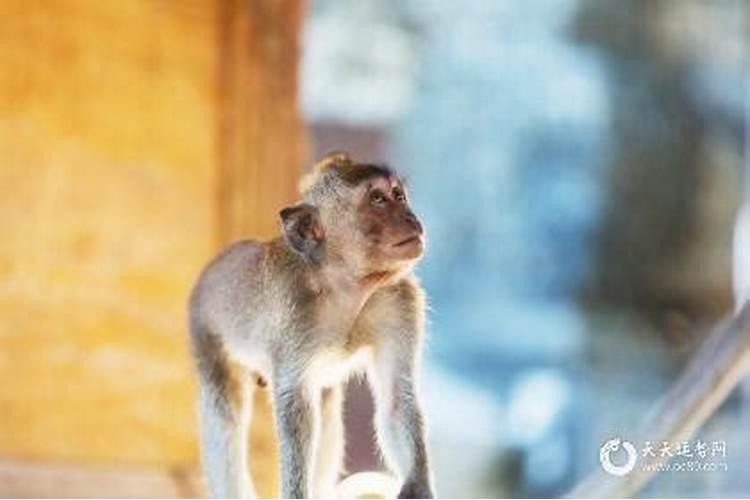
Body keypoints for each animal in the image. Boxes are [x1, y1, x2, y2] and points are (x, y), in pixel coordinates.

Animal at [188, 153, 434, 500]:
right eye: (377, 199)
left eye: (398, 195)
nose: (410, 217)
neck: (344, 286)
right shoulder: (294, 313)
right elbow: (296, 408)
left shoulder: (401, 301)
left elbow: (397, 398)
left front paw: (418, 487)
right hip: (204, 327)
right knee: (224, 412)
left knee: (327, 406)